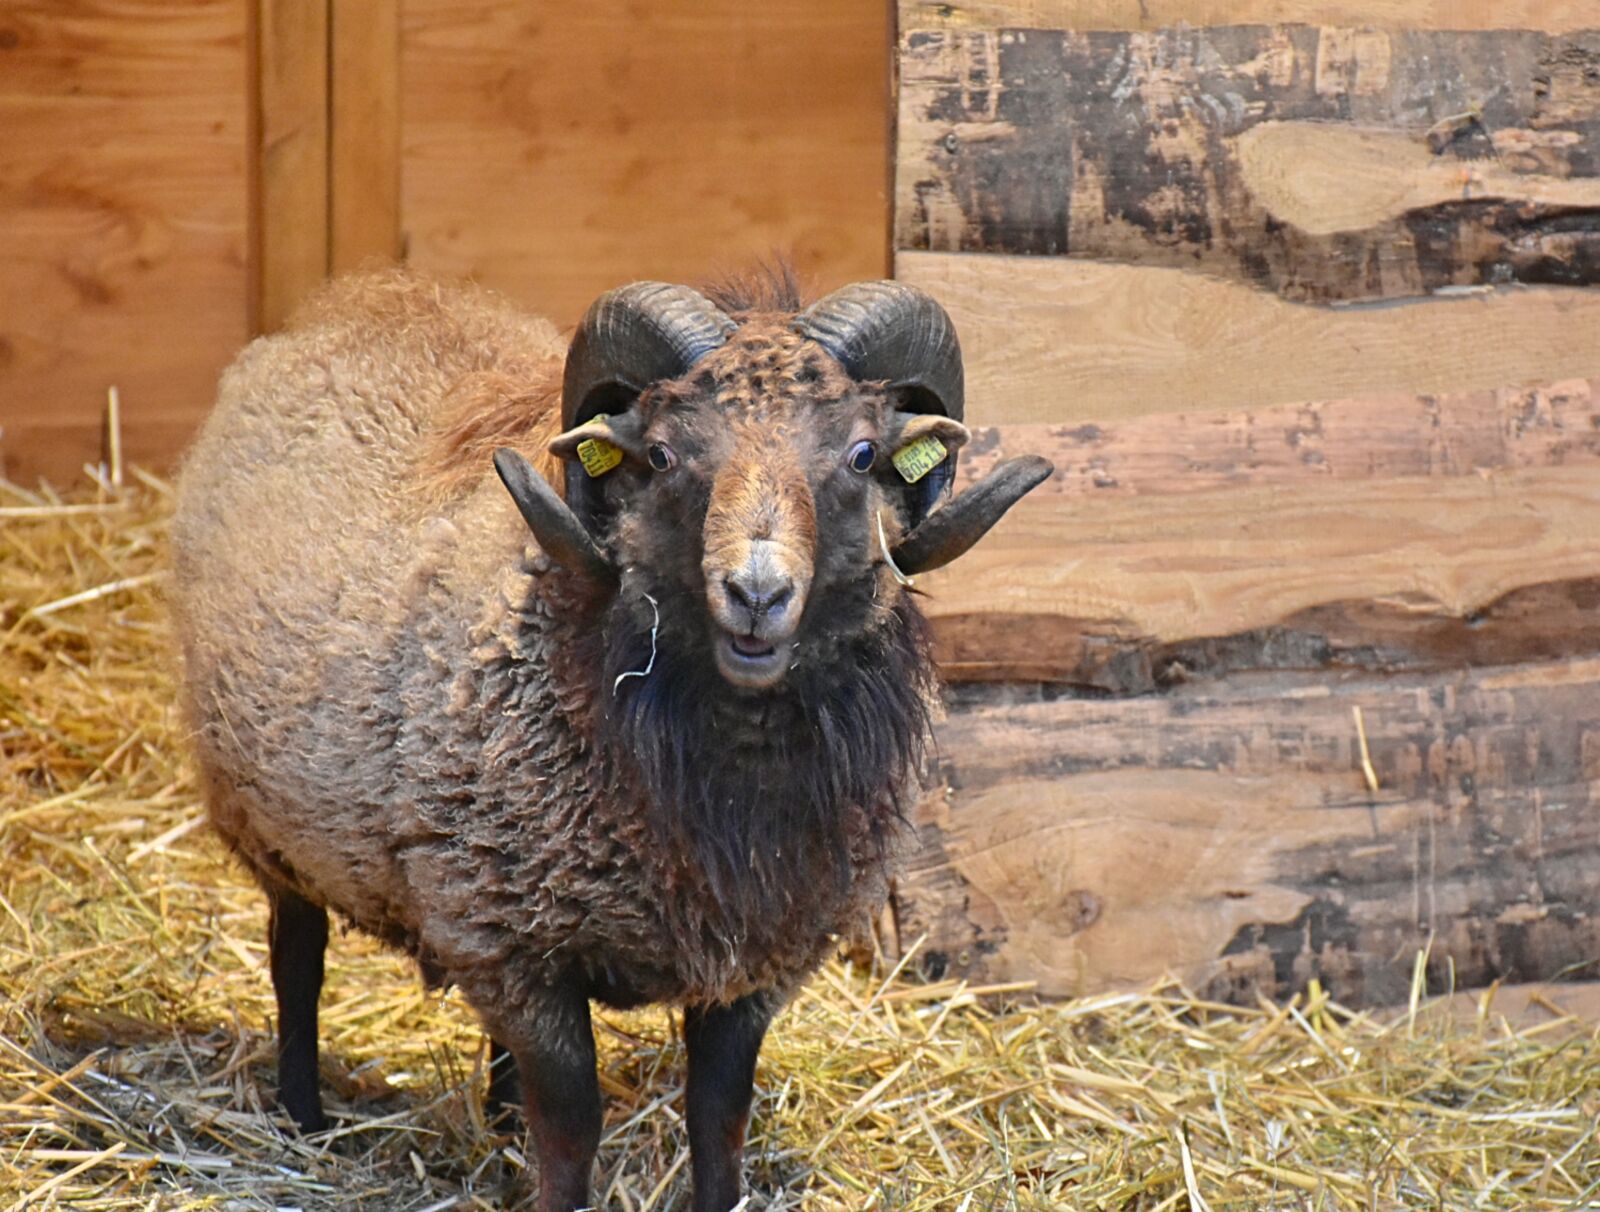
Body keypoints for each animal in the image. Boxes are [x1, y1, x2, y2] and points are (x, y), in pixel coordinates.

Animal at [169, 265, 1051, 1212]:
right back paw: (302, 1116)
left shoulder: (751, 965)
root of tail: (354, 300)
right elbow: (573, 1132)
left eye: (859, 457)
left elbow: (718, 1121)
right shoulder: (516, 948)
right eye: (662, 457)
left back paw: (496, 1120)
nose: (757, 594)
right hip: (272, 821)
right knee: (297, 958)